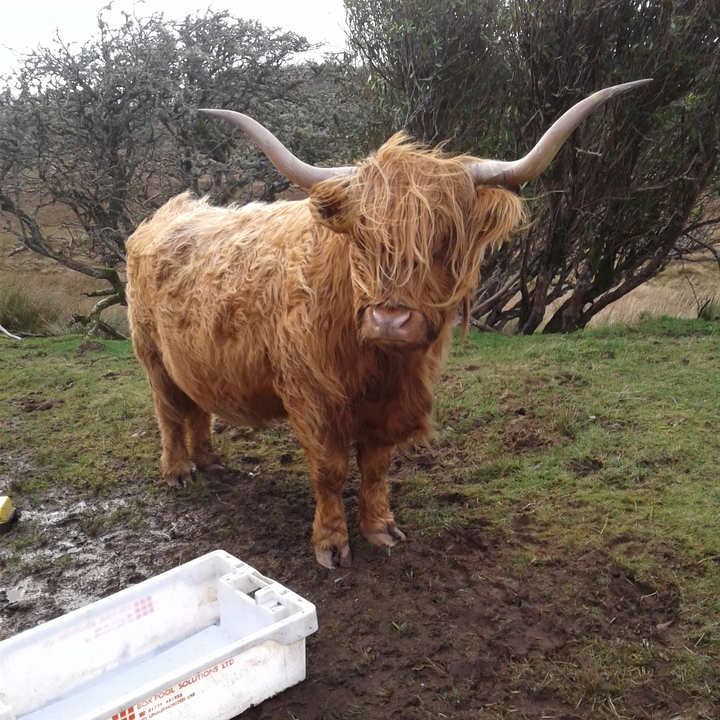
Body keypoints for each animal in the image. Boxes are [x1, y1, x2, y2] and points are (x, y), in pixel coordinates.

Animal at [126, 80, 649, 568]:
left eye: (444, 238)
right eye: (362, 235)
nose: (389, 319)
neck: (379, 362)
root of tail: (166, 212)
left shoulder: (393, 402)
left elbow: (377, 467)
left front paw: (380, 528)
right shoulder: (310, 397)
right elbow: (330, 471)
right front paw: (331, 544)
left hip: (192, 358)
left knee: (197, 407)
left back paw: (210, 461)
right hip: (152, 355)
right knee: (168, 413)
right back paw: (178, 472)